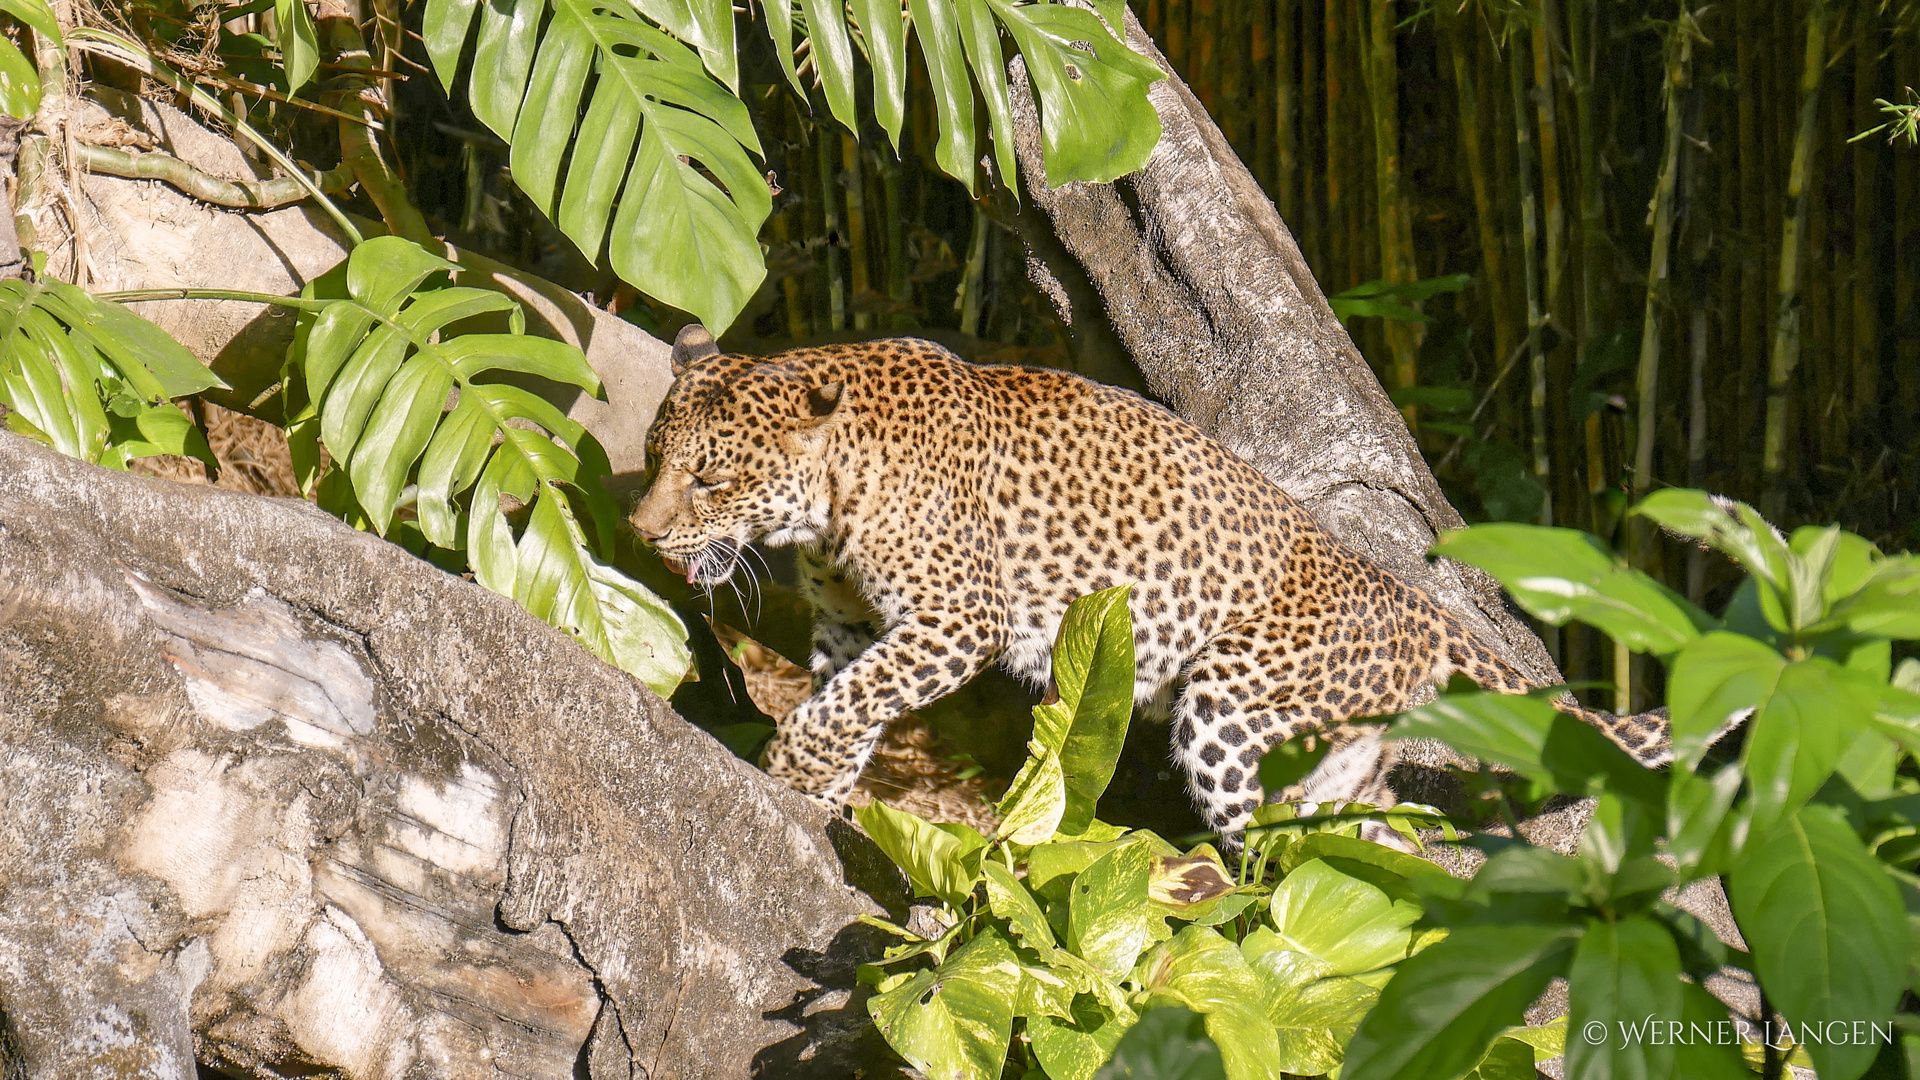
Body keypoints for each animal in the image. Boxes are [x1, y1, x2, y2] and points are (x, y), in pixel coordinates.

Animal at [629, 322, 1666, 837]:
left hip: (1230, 711)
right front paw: (820, 790)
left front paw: (798, 767)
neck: (832, 498)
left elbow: (848, 700)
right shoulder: (850, 623)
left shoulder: (959, 617)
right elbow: (843, 695)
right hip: (1333, 761)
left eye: (709, 479)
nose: (642, 531)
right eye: (652, 456)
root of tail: (1411, 601)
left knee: (1270, 851)